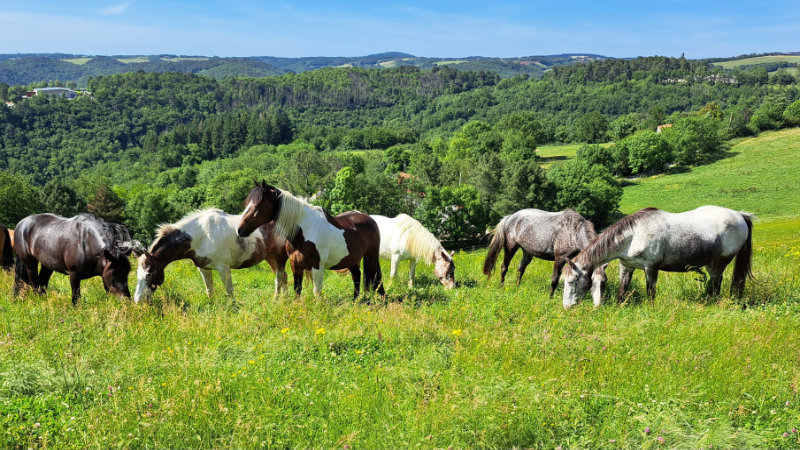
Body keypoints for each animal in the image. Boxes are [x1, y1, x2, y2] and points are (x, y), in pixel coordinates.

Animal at [132, 208, 289, 303]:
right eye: (136, 273)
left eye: (149, 273)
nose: (137, 300)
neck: (202, 235)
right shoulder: (204, 268)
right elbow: (209, 290)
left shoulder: (224, 268)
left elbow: (229, 290)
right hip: (270, 257)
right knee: (284, 277)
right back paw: (285, 299)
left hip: (279, 256)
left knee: (279, 278)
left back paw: (276, 300)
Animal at [237, 182, 385, 299]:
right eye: (247, 203)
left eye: (258, 205)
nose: (240, 229)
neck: (304, 231)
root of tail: (370, 219)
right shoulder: (295, 265)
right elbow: (297, 290)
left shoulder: (317, 266)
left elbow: (316, 292)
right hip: (351, 259)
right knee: (357, 277)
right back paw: (355, 301)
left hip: (371, 257)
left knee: (375, 278)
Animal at [562, 205, 754, 309]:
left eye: (571, 281)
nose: (566, 307)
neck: (634, 235)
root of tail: (740, 215)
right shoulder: (626, 266)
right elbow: (622, 292)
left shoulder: (651, 267)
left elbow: (650, 292)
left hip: (718, 263)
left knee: (716, 283)